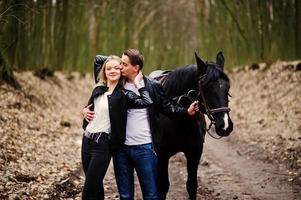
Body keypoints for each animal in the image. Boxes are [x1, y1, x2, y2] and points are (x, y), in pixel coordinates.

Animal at [149, 51, 233, 200]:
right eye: (206, 88)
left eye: (227, 87)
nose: (225, 125)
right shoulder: (162, 155)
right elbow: (162, 187)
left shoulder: (194, 152)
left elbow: (192, 185)